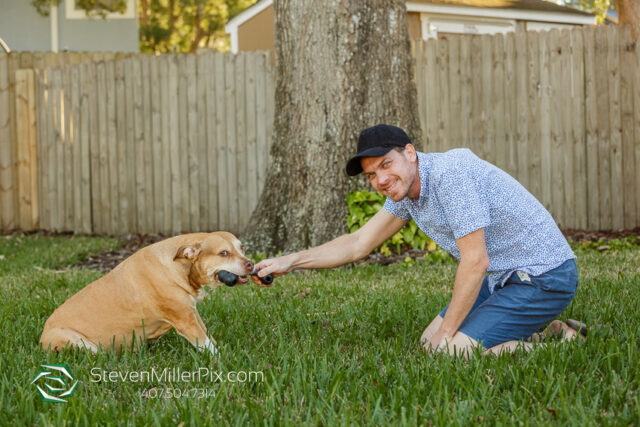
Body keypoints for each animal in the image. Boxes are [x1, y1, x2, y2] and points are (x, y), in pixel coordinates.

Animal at [39, 232, 264, 356]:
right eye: (223, 253)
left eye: (242, 248)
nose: (250, 263)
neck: (181, 264)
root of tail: (41, 338)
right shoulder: (185, 321)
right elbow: (207, 344)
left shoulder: (191, 313)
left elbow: (209, 335)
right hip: (73, 340)